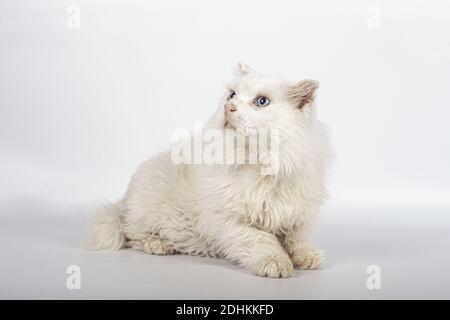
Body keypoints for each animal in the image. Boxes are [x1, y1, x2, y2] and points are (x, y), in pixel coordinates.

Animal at [89, 63, 334, 278]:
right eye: (232, 95)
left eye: (262, 101)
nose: (229, 107)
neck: (262, 166)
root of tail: (124, 200)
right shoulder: (230, 221)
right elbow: (262, 241)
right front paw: (276, 263)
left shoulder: (299, 215)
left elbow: (297, 240)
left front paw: (306, 257)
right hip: (146, 210)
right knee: (132, 234)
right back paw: (159, 244)